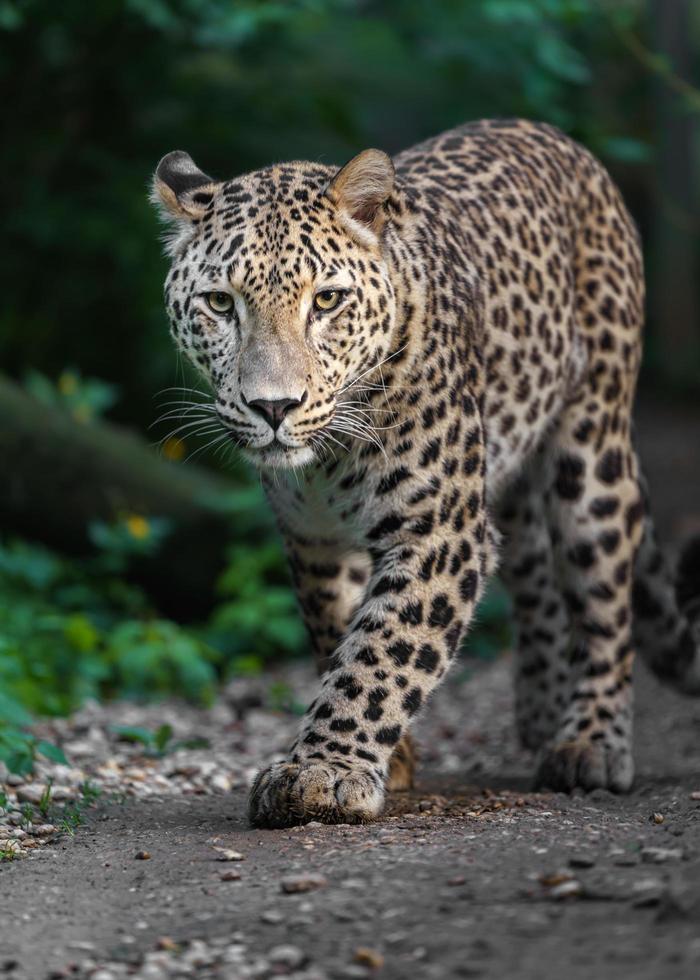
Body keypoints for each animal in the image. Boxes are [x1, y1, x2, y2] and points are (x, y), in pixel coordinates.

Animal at [152, 118, 700, 832]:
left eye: (327, 301)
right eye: (220, 303)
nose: (273, 407)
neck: (329, 460)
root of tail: (547, 133)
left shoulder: (440, 530)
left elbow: (383, 652)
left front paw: (322, 772)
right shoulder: (313, 540)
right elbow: (338, 632)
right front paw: (393, 756)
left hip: (591, 453)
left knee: (606, 599)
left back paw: (590, 743)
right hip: (508, 478)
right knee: (536, 579)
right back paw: (542, 710)